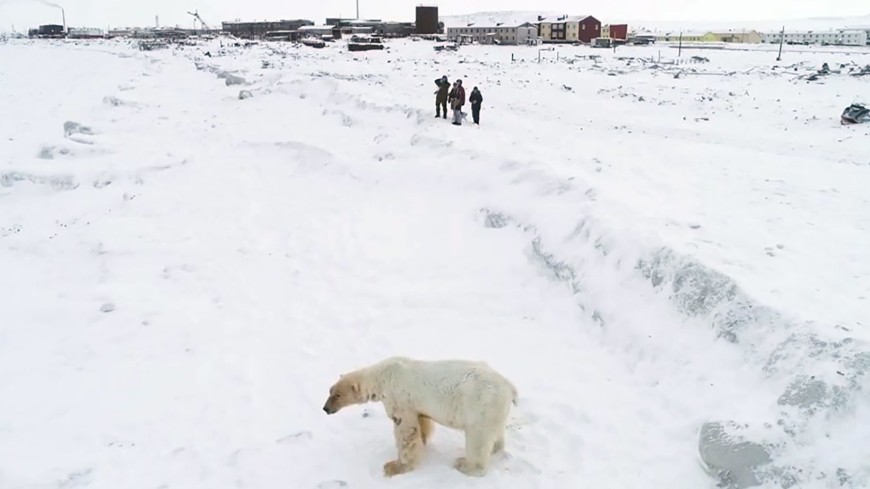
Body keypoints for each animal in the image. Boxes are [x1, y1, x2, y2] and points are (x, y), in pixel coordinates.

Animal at [326, 354, 516, 476]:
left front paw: (394, 466)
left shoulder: (399, 397)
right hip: (494, 410)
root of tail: (509, 386)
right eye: (330, 391)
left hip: (480, 405)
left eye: (337, 395)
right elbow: (422, 421)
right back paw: (494, 451)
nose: (325, 409)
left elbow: (405, 429)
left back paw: (464, 464)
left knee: (478, 438)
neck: (383, 375)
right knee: (495, 433)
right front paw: (423, 441)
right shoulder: (416, 405)